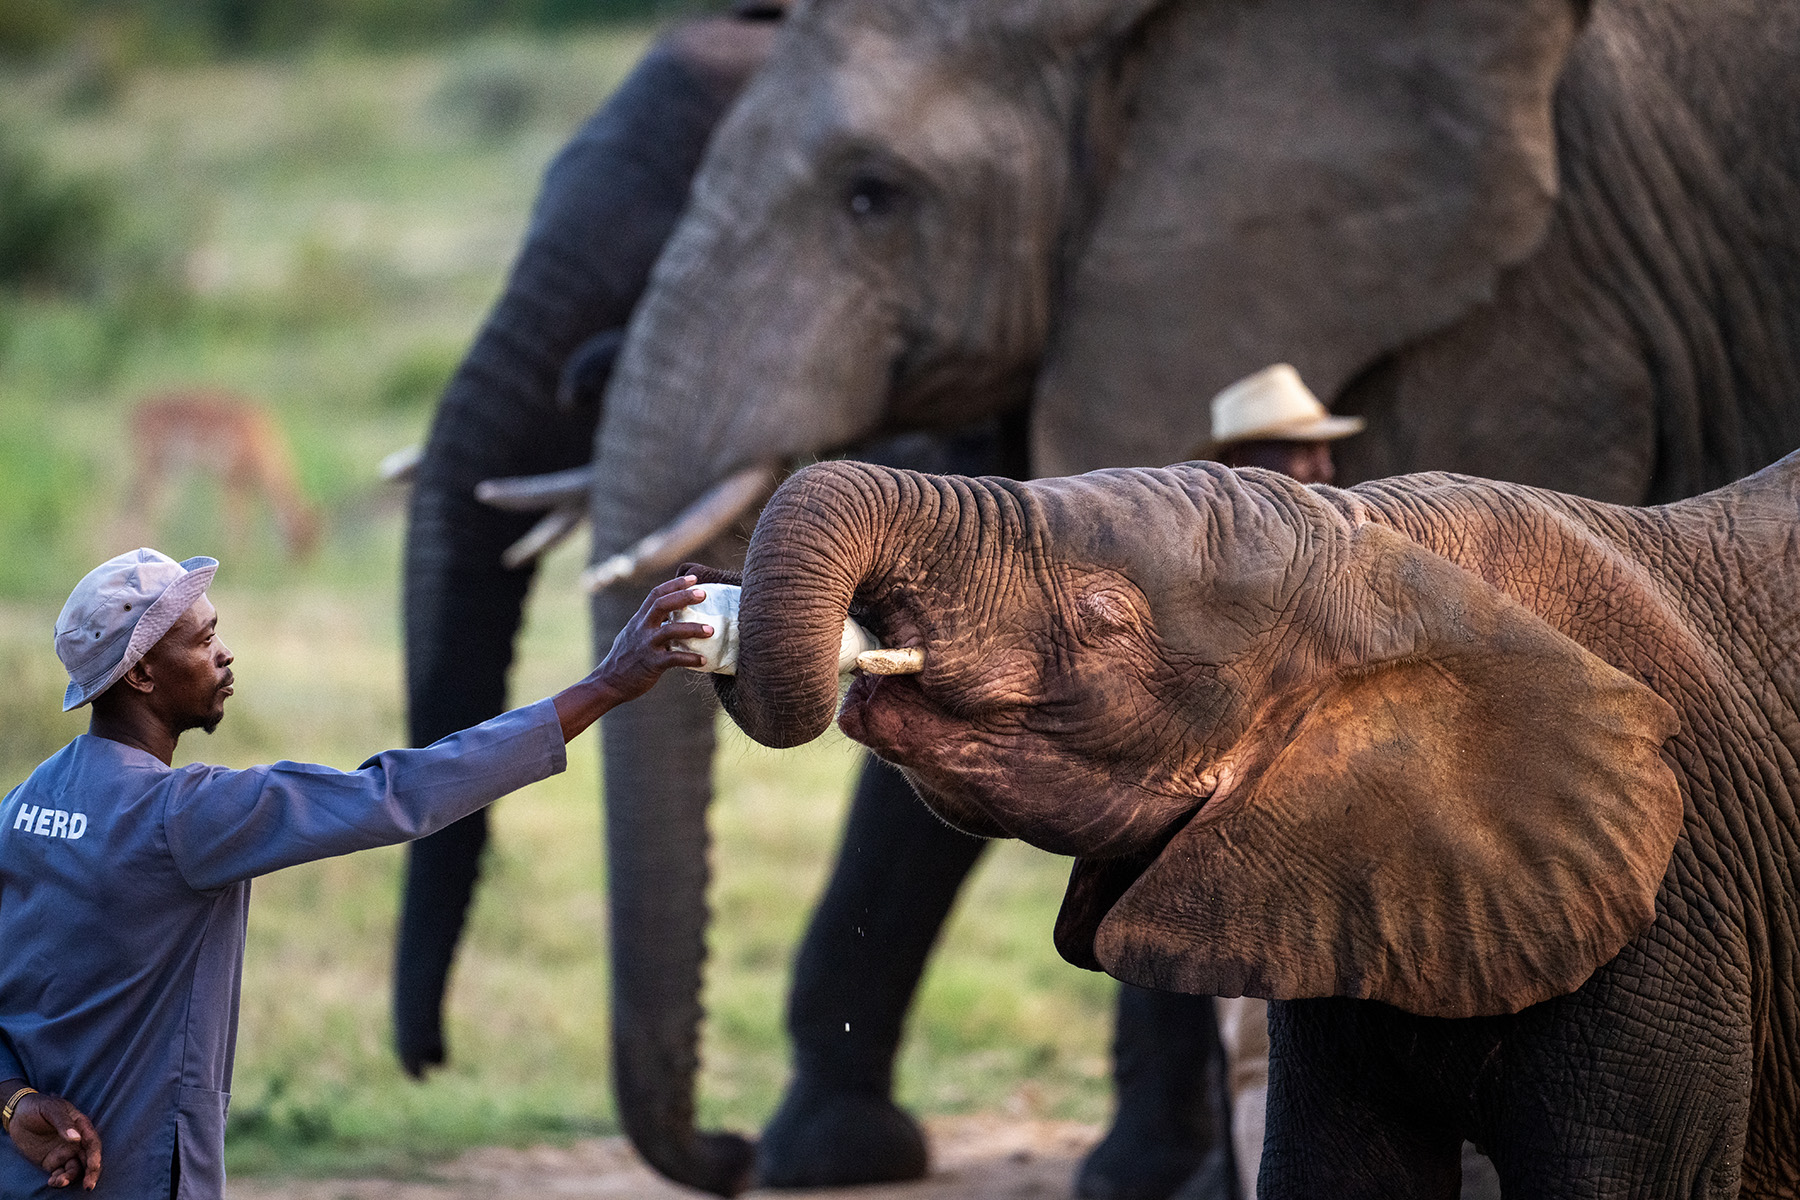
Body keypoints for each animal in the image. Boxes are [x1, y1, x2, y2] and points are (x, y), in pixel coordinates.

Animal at [127, 394, 324, 564]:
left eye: (313, 543)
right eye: (299, 537)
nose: (298, 566)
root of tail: (134, 411)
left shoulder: (241, 487)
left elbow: (242, 525)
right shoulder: (230, 482)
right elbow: (235, 523)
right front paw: (233, 560)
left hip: (170, 472)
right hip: (154, 468)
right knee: (139, 505)